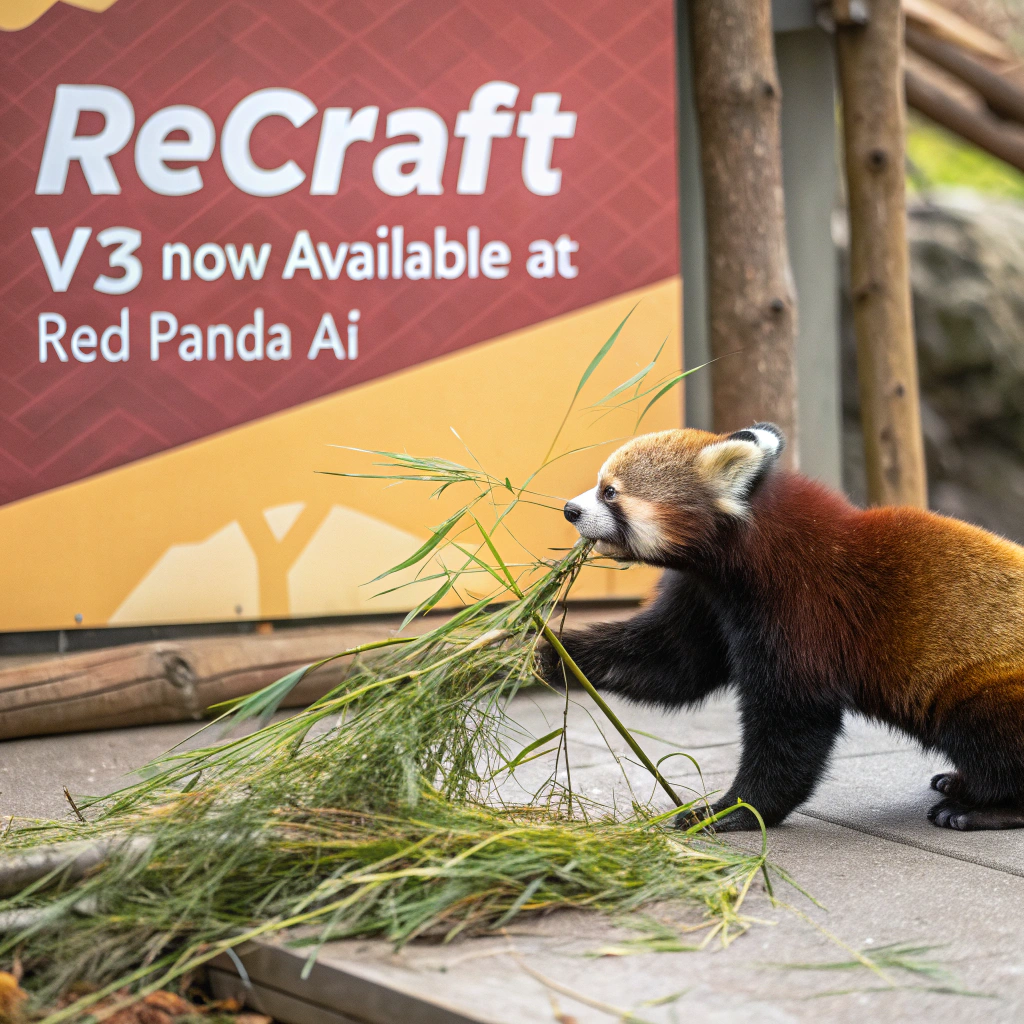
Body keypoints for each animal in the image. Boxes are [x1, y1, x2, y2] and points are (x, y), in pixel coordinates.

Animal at [542, 423, 1024, 832]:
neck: (754, 546)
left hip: (990, 689)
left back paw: (982, 808)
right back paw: (961, 784)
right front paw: (544, 651)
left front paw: (732, 811)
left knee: (989, 737)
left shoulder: (804, 605)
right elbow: (675, 663)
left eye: (610, 492)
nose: (569, 510)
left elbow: (793, 716)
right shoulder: (707, 594)